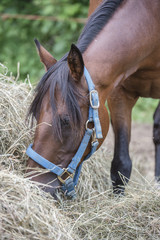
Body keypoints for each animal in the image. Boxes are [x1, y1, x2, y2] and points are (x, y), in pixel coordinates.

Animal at [26, 0, 160, 197]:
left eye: (65, 121)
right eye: (36, 115)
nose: (33, 185)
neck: (149, 21)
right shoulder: (119, 92)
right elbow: (121, 165)